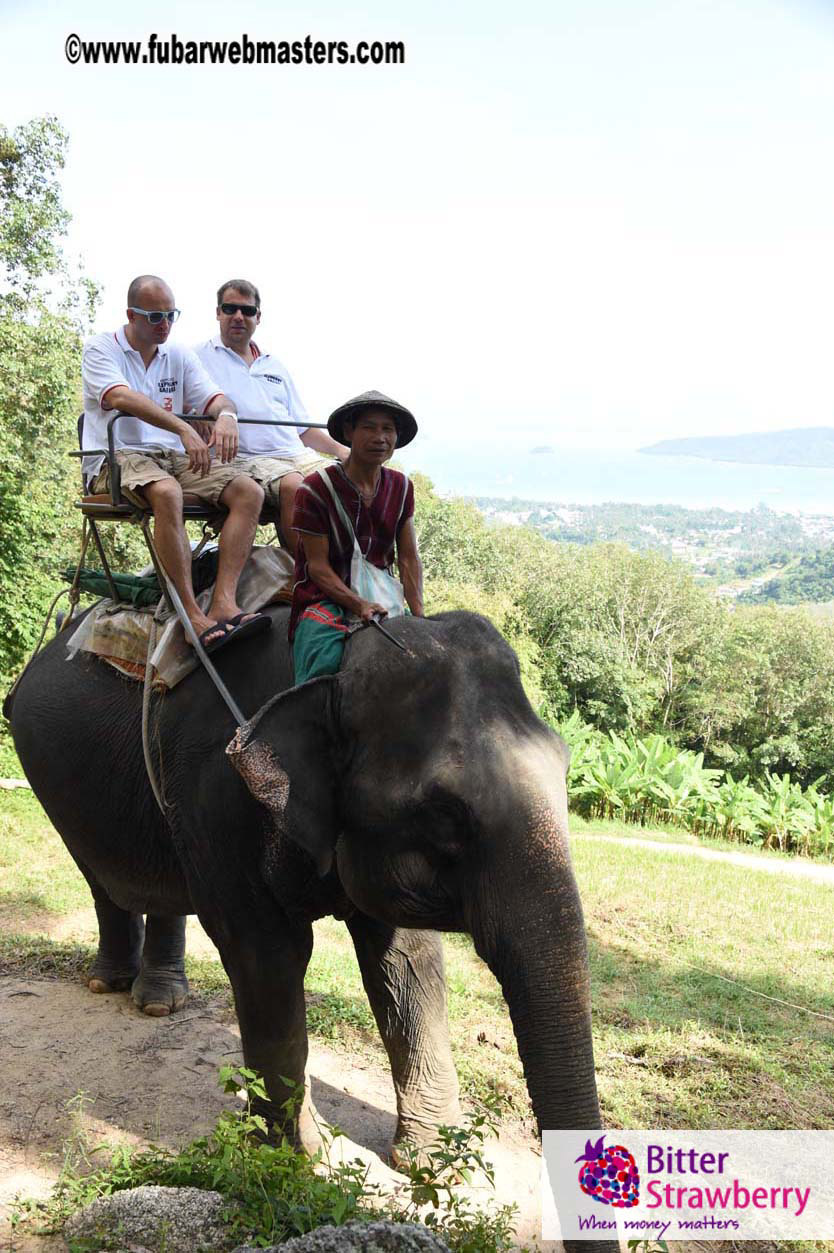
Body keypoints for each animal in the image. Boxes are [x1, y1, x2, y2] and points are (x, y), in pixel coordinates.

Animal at [6, 605, 615, 1253]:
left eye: (566, 766)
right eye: (445, 813)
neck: (333, 664)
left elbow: (406, 962)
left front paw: (432, 1165)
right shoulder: (217, 791)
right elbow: (269, 957)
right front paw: (301, 1160)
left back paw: (157, 1001)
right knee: (100, 875)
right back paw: (113, 986)